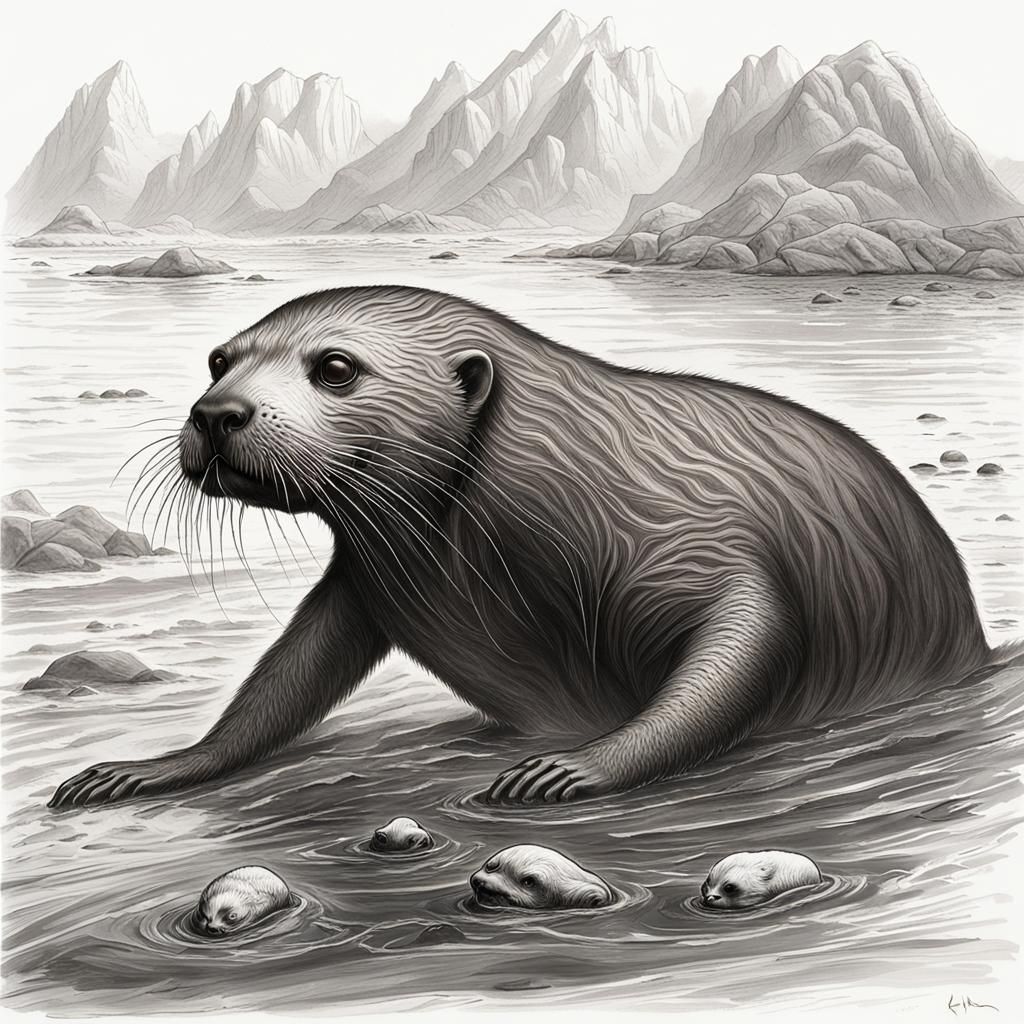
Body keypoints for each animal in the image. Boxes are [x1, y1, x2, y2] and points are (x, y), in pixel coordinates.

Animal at [48, 285, 988, 809]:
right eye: (219, 357)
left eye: (336, 367)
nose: (218, 413)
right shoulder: (367, 577)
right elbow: (286, 679)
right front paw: (157, 766)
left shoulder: (687, 531)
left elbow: (745, 638)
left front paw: (577, 768)